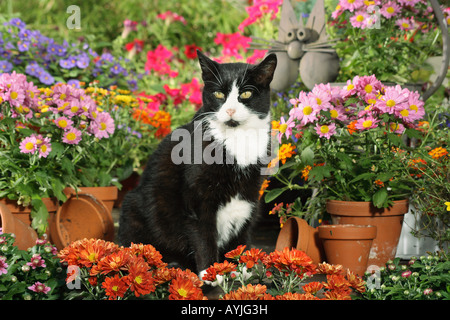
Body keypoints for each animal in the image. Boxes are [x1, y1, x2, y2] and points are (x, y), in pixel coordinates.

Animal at [118, 52, 276, 276]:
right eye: (218, 94)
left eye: (246, 94)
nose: (230, 110)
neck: (236, 139)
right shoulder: (198, 198)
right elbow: (203, 236)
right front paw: (212, 275)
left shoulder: (250, 194)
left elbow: (242, 229)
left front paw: (242, 268)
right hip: (133, 207)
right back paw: (171, 264)